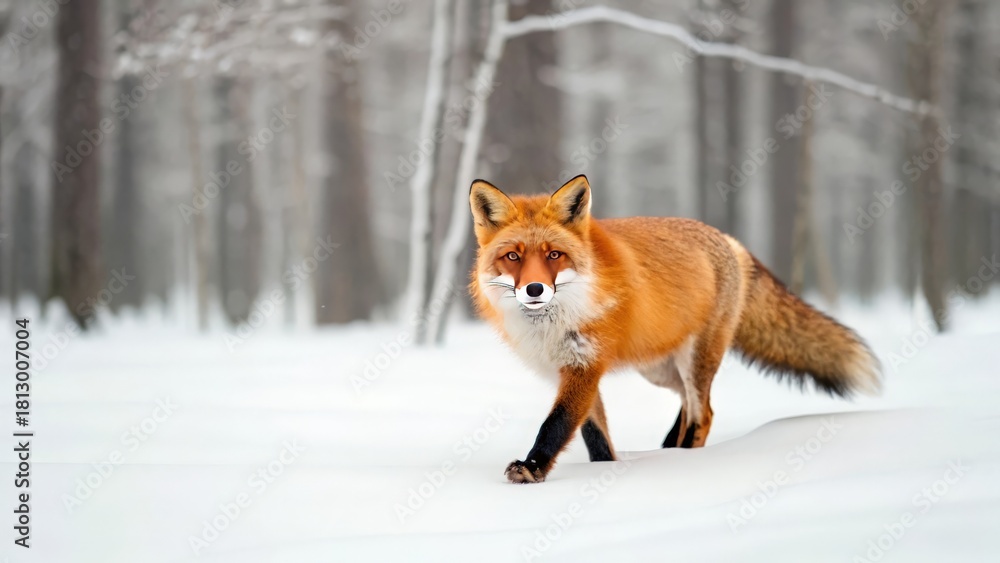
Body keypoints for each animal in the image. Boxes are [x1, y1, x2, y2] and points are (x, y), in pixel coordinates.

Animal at [469, 174, 882, 484]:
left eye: (554, 255)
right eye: (513, 257)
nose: (535, 289)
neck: (555, 323)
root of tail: (729, 240)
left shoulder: (585, 365)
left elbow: (557, 423)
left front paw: (532, 468)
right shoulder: (572, 369)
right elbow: (593, 434)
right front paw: (605, 469)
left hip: (695, 360)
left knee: (704, 413)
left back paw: (685, 459)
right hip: (660, 369)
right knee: (687, 403)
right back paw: (669, 449)